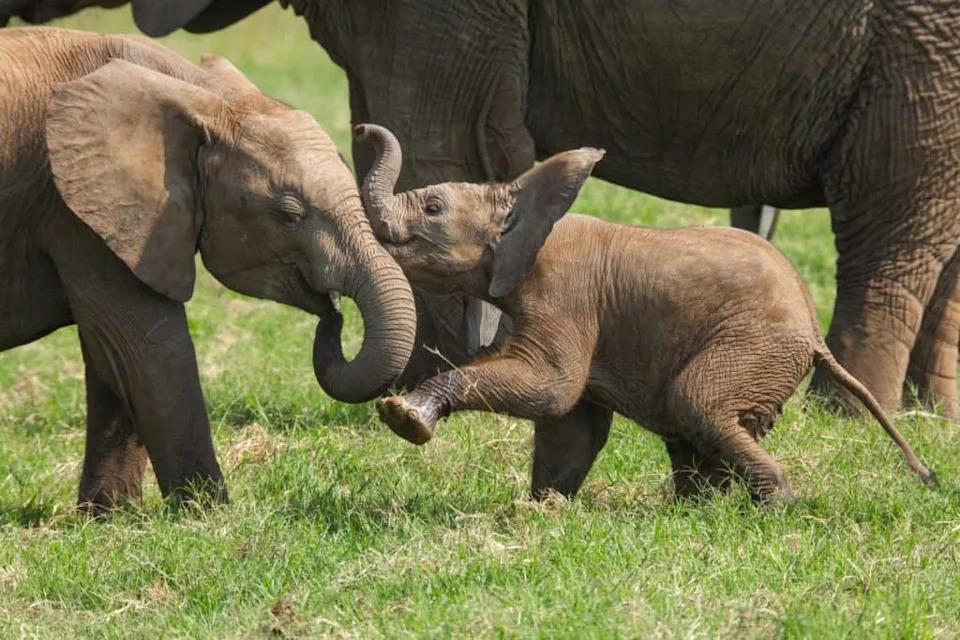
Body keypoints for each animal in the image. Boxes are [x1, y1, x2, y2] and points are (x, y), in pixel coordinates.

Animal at [0, 27, 417, 509]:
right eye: (289, 213)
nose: (334, 317)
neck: (202, 95)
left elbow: (110, 356)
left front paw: (112, 515)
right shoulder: (74, 208)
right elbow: (146, 346)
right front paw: (207, 510)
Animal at [7, 1, 960, 420]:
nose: (325, 308)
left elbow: (431, 125)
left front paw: (412, 383)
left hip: (920, 46)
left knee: (893, 218)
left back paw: (841, 415)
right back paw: (930, 414)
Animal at [354, 124, 936, 503]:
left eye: (433, 209)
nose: (361, 127)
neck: (529, 204)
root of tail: (815, 335)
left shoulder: (566, 293)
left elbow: (552, 388)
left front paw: (404, 417)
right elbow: (572, 420)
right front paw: (543, 508)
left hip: (753, 347)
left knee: (697, 402)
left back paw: (775, 505)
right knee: (694, 425)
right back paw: (697, 508)